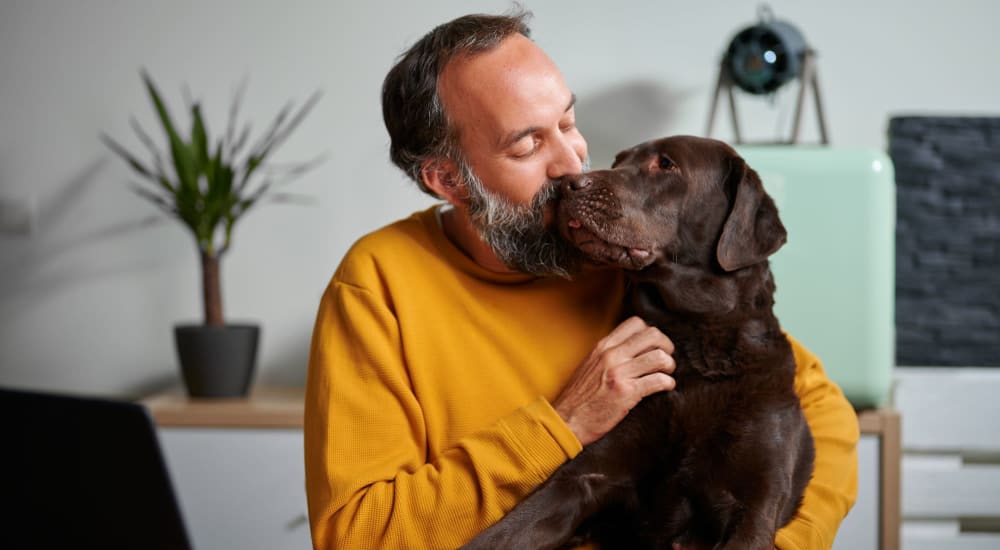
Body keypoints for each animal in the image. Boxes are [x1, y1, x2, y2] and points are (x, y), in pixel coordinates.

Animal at [464, 137, 816, 550]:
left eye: (665, 164)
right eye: (619, 161)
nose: (567, 185)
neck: (697, 343)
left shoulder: (754, 507)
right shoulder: (582, 478)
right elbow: (503, 533)